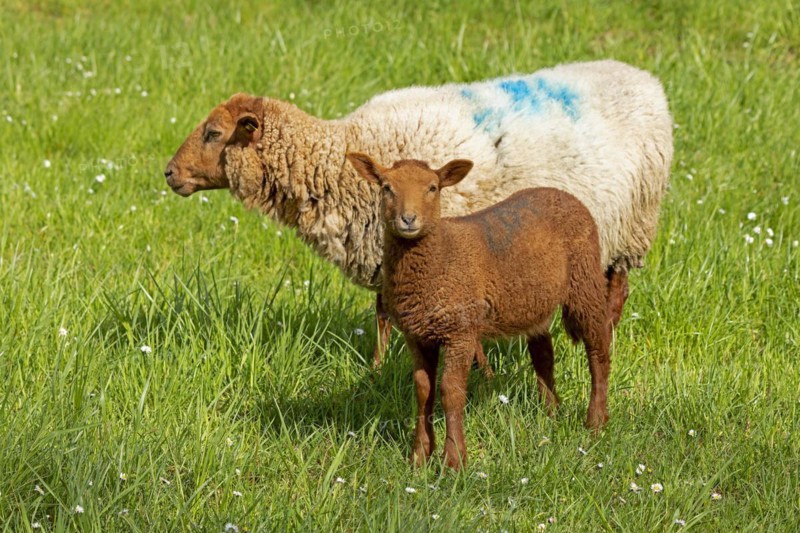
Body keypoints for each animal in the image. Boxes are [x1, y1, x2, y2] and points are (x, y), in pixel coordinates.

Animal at [164, 59, 672, 367]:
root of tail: (645, 79)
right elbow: (383, 314)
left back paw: (604, 338)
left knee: (617, 292)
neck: (339, 158)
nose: (169, 173)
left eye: (213, 133)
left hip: (631, 225)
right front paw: (377, 367)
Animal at [346, 153, 612, 470]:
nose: (408, 219)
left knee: (598, 348)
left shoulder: (459, 331)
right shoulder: (418, 334)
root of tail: (561, 193)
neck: (440, 256)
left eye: (433, 188)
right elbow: (423, 389)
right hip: (532, 300)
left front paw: (454, 460)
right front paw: (419, 456)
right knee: (544, 353)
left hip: (585, 278)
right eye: (386, 187)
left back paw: (595, 422)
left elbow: (450, 391)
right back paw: (551, 412)